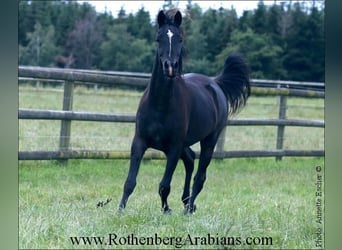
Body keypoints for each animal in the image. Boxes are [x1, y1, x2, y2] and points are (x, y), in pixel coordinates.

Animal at [119, 9, 250, 213]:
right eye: (158, 38)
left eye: (180, 39)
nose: (170, 67)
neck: (160, 105)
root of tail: (215, 83)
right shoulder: (139, 142)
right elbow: (130, 182)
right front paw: (120, 210)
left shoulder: (174, 147)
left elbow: (164, 185)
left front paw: (166, 210)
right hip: (185, 144)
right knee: (190, 159)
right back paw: (187, 201)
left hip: (209, 140)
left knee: (200, 176)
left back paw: (188, 208)